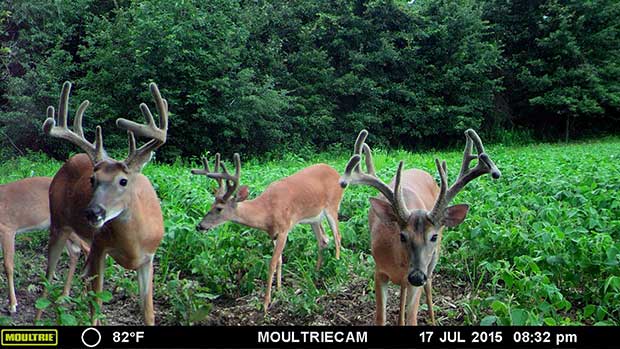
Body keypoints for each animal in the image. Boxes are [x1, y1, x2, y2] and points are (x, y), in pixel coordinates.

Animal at [0, 177, 89, 312]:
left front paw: (13, 304)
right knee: (75, 253)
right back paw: (64, 295)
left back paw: (85, 295)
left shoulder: (7, 229)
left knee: (87, 248)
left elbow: (8, 266)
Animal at [33, 80, 170, 324]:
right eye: (92, 180)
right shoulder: (100, 247)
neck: (133, 245)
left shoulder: (148, 258)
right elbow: (96, 304)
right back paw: (39, 319)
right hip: (58, 223)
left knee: (78, 262)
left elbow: (148, 312)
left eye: (123, 180)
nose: (93, 212)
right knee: (48, 278)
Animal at [191, 152, 344, 310]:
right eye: (211, 205)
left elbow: (272, 263)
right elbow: (280, 261)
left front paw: (265, 303)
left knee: (337, 237)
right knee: (323, 240)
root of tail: (336, 172)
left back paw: (337, 269)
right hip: (314, 218)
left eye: (219, 208)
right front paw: (279, 290)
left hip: (332, 205)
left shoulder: (284, 229)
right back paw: (315, 274)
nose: (199, 226)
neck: (267, 211)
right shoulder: (273, 234)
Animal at [342, 128, 502, 324]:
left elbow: (412, 317)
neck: (401, 265)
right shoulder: (379, 271)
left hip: (433, 259)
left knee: (429, 283)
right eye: (402, 236)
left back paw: (432, 318)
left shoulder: (419, 277)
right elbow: (381, 317)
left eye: (433, 236)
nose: (417, 276)